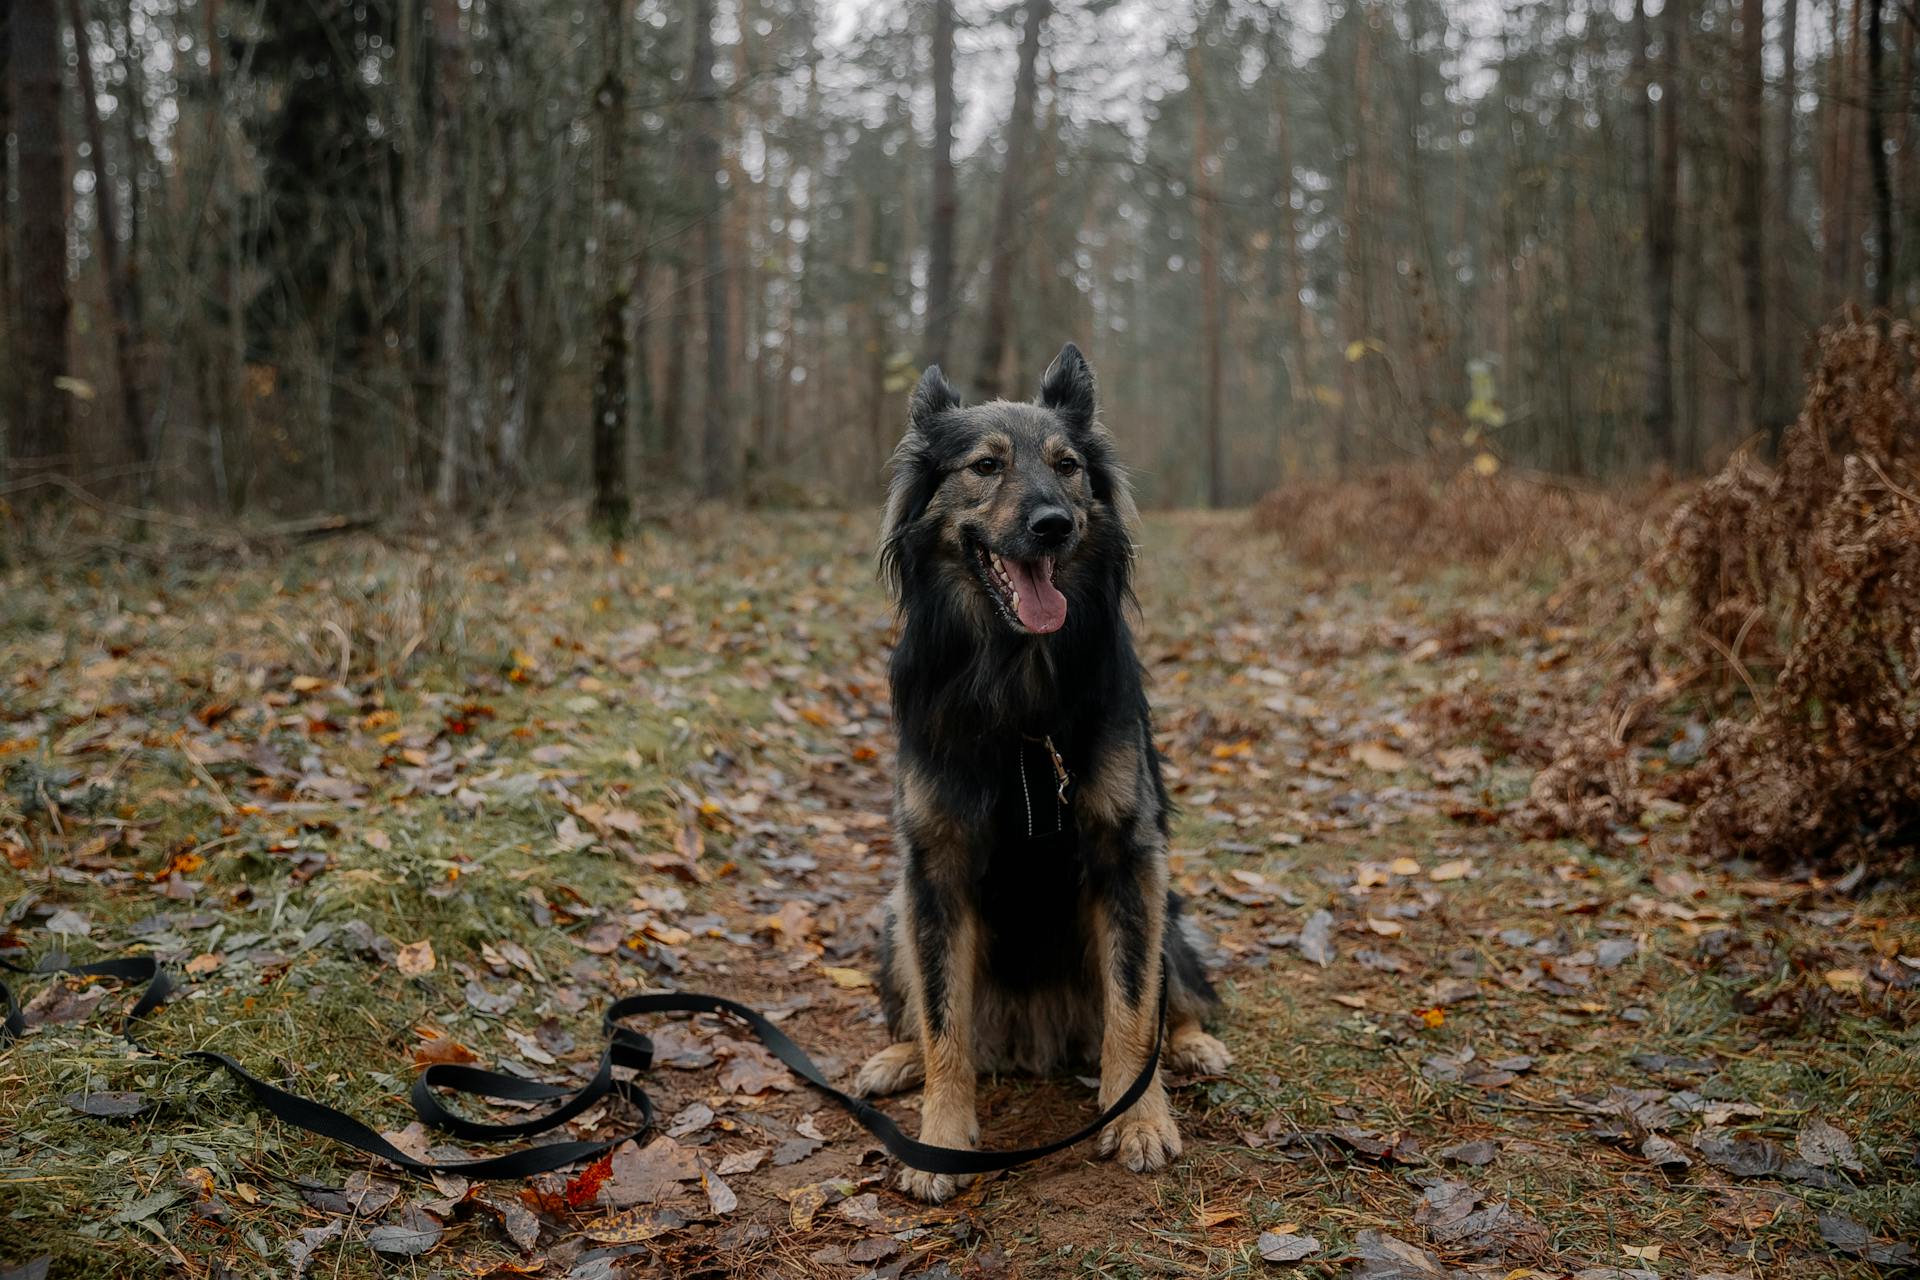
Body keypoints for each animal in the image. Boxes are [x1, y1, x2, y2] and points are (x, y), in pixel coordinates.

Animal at [852, 339, 1228, 1205]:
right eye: (986, 466)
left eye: (1068, 466)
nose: (1054, 525)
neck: (1016, 681)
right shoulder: (934, 868)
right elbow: (944, 1020)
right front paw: (940, 1134)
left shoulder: (1130, 857)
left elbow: (1134, 1004)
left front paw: (1139, 1116)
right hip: (893, 917)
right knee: (923, 1015)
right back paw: (898, 1059)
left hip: (1174, 921)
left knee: (1176, 999)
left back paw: (1193, 1045)